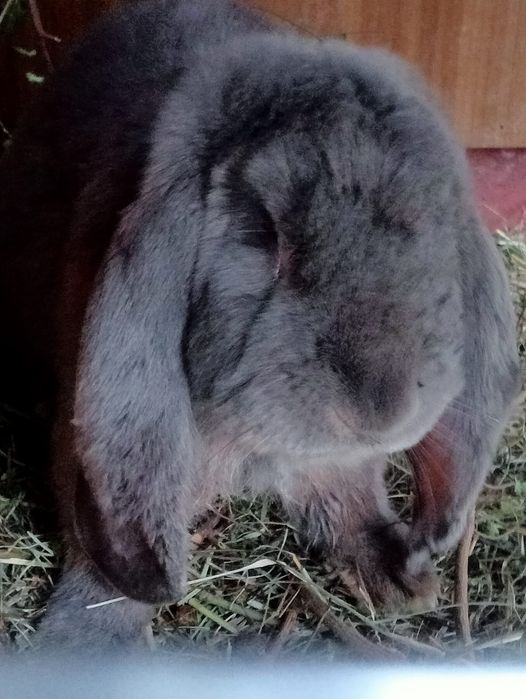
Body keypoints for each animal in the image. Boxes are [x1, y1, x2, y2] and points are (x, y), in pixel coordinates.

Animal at [0, 0, 520, 650]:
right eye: (262, 233)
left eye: (433, 225)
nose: (383, 408)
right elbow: (106, 576)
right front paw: (79, 644)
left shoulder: (339, 463)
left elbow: (349, 501)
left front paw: (404, 575)